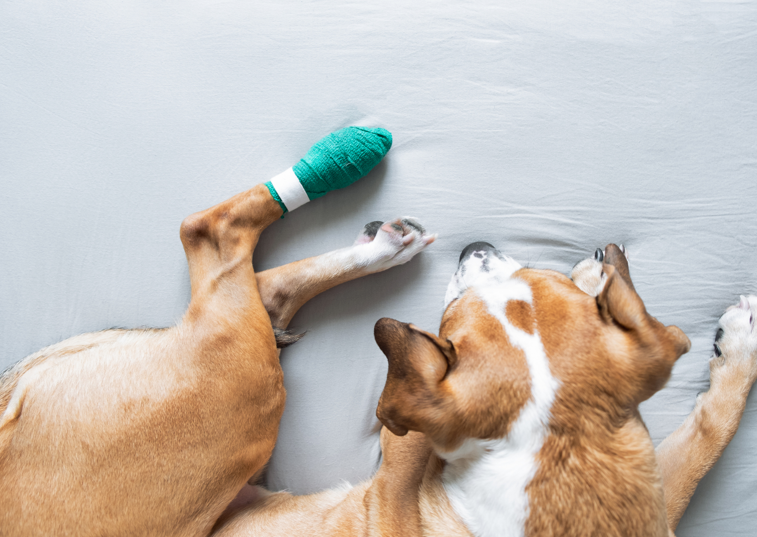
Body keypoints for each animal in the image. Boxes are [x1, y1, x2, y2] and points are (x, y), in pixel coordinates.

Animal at [211, 245, 756, 532]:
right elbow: (707, 438)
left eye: (451, 319)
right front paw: (605, 282)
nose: (478, 247)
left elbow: (707, 435)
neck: (559, 447)